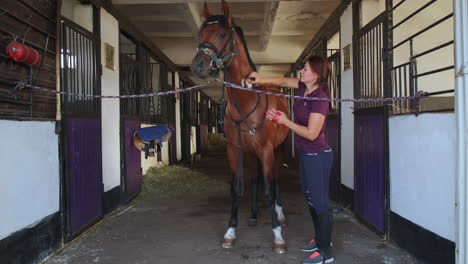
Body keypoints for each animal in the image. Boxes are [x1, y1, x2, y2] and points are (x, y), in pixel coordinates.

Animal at [189, 0, 288, 253]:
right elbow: (237, 188)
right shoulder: (235, 149)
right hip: (252, 154)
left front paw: (278, 236)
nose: (198, 66)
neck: (247, 101)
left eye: (223, 34)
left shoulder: (267, 150)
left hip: (277, 150)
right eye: (201, 33)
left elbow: (270, 190)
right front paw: (230, 231)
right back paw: (253, 215)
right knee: (254, 180)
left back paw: (280, 214)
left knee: (276, 181)